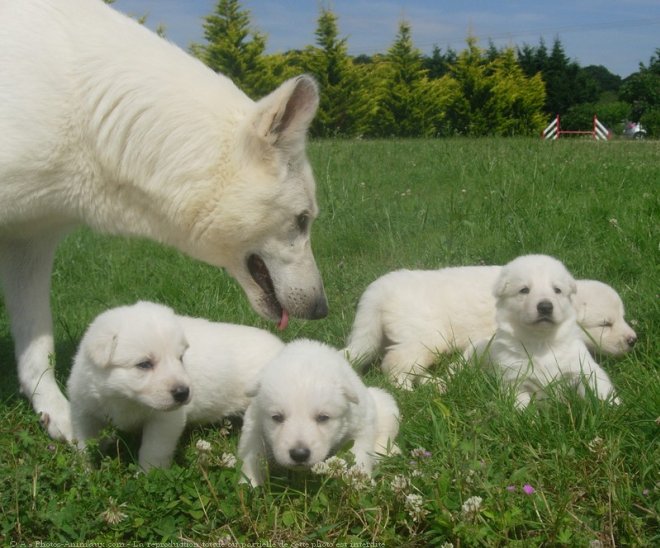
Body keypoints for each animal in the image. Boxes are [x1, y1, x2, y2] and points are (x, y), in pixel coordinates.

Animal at [1, 0, 326, 440]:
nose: (322, 309)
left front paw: (58, 417)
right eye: (302, 219)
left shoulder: (30, 242)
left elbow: (38, 347)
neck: (81, 105)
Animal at [67, 300, 284, 470]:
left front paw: (147, 477)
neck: (124, 398)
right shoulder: (84, 410)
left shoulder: (166, 420)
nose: (183, 393)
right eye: (144, 364)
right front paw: (85, 473)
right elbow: (84, 443)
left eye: (180, 358)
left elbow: (153, 451)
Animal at [240, 338, 400, 488]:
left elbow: (360, 453)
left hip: (385, 404)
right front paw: (250, 484)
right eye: (277, 417)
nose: (299, 454)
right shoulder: (254, 424)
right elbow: (251, 454)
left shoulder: (361, 424)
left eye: (323, 417)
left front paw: (359, 481)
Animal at [464, 255, 620, 408]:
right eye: (524, 290)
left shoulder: (581, 364)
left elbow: (597, 382)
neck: (542, 341)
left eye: (557, 290)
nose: (545, 307)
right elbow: (519, 400)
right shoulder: (512, 377)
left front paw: (611, 404)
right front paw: (526, 413)